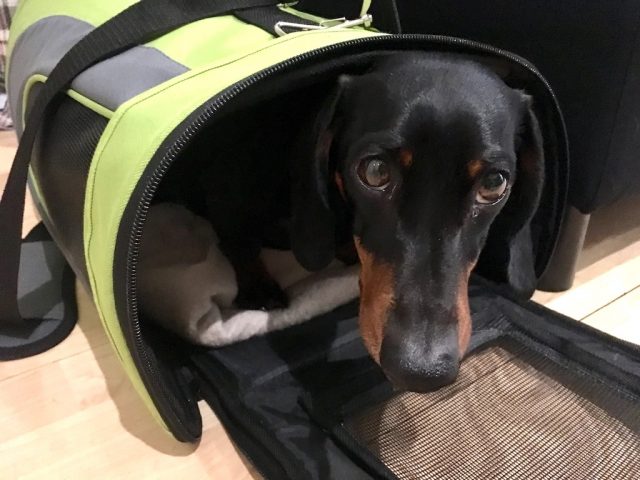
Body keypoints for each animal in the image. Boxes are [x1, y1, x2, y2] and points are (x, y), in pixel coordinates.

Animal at [152, 50, 544, 392]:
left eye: (494, 184)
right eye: (375, 171)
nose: (421, 371)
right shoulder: (227, 188)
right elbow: (238, 242)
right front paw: (258, 287)